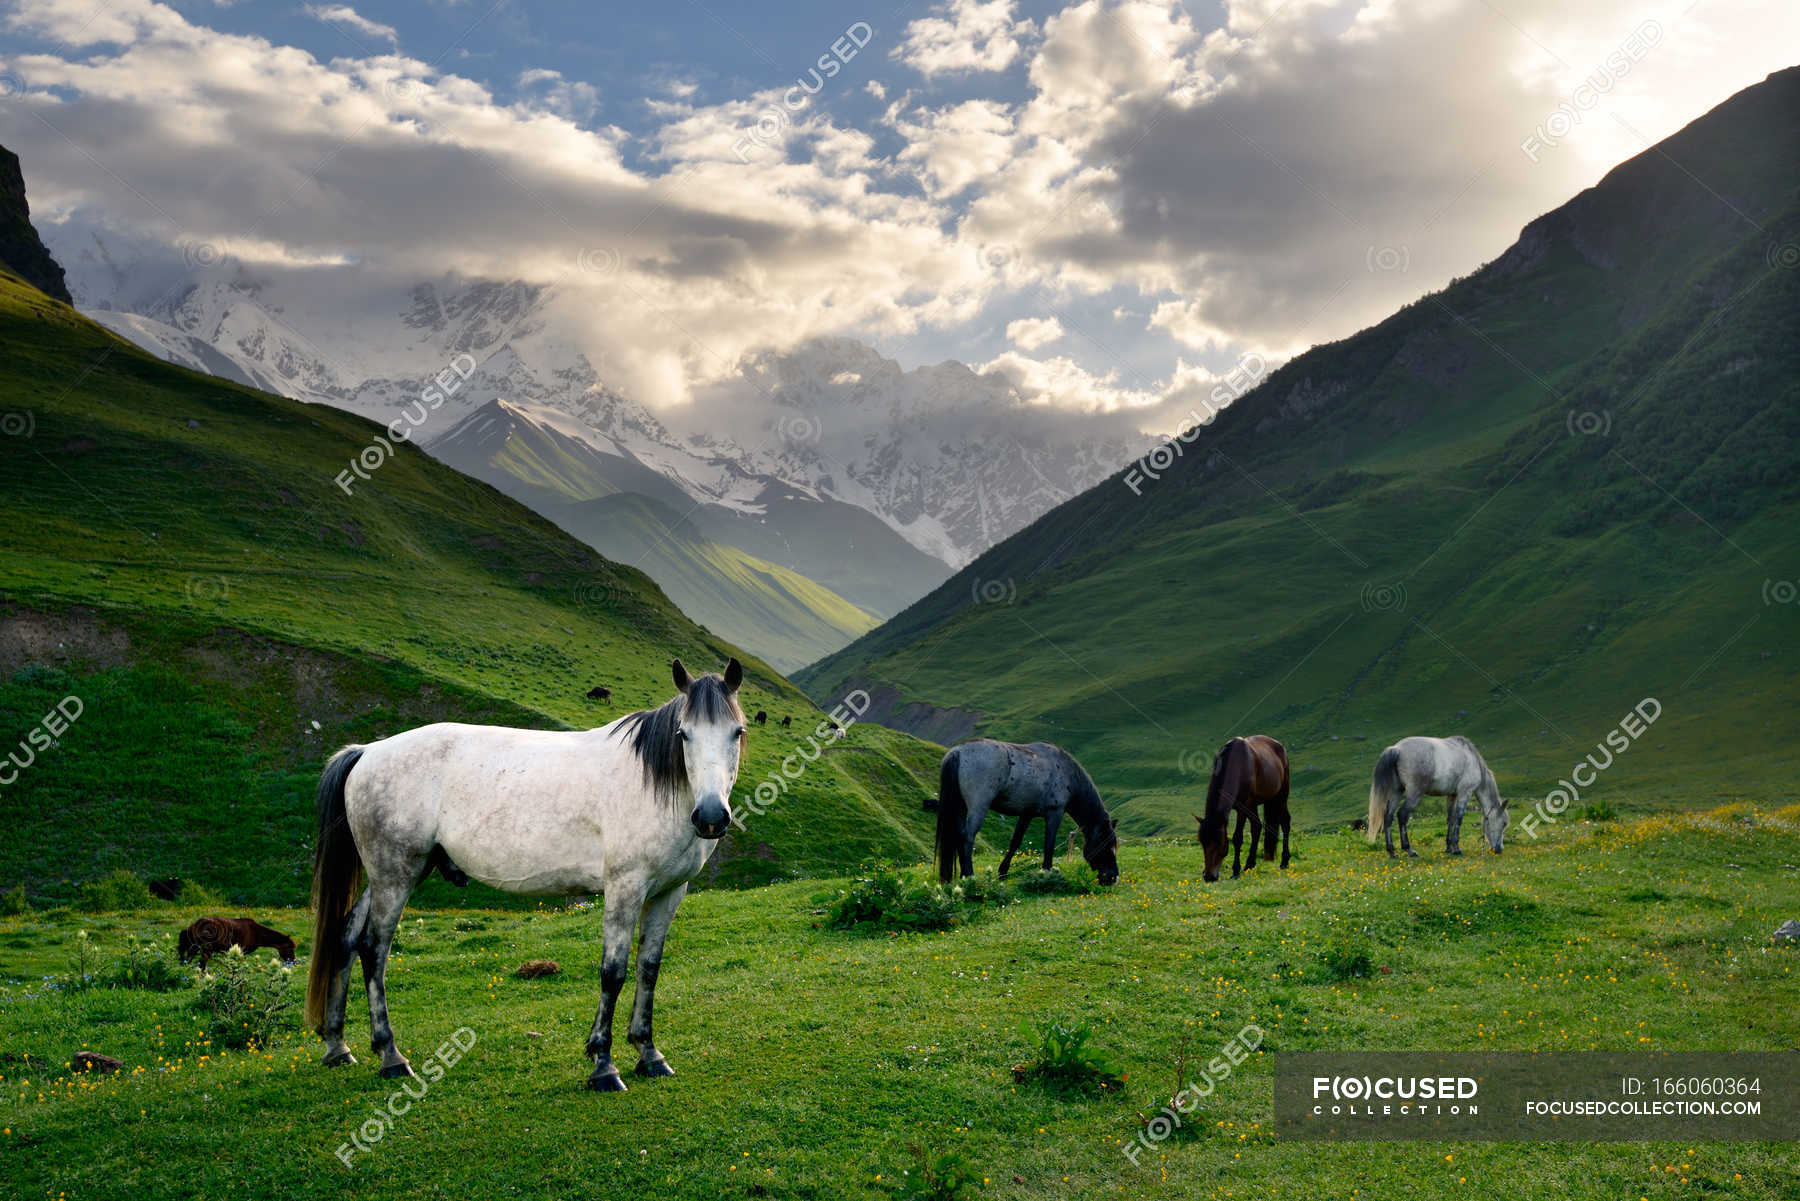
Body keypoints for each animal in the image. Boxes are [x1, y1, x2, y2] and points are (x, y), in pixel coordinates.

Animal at [306, 659, 741, 1087]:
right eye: (683, 734)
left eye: (737, 732)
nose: (711, 817)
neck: (652, 784)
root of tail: (368, 751)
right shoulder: (625, 887)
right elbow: (613, 972)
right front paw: (603, 1064)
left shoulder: (669, 892)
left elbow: (649, 969)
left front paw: (649, 1054)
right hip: (396, 875)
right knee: (373, 948)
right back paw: (390, 1055)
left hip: (388, 876)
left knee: (346, 937)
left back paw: (337, 1045)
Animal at [936, 738, 1116, 889]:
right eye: (1106, 845)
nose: (1113, 878)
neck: (1066, 771)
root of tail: (958, 751)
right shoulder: (1055, 813)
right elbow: (1049, 844)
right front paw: (1047, 873)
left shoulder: (1026, 814)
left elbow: (1015, 842)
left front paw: (1003, 872)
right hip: (978, 807)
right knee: (967, 837)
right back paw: (969, 876)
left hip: (960, 807)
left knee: (957, 835)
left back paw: (961, 878)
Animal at [1195, 734, 1296, 882]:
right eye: (1202, 842)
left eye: (1219, 843)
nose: (1209, 877)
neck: (1237, 764)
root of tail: (1280, 746)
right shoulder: (1246, 806)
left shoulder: (1242, 808)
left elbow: (1237, 838)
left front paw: (1235, 871)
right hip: (1254, 804)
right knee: (1257, 826)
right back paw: (1250, 864)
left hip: (1281, 797)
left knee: (1285, 823)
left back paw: (1284, 861)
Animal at [1360, 738, 1504, 860]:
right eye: (1503, 824)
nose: (1499, 849)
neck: (1473, 759)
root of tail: (1397, 749)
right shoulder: (1465, 793)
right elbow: (1459, 818)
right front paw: (1457, 849)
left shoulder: (1452, 795)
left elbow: (1450, 819)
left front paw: (1449, 847)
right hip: (1414, 793)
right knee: (1402, 815)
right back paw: (1409, 850)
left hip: (1397, 791)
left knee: (1388, 817)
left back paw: (1392, 851)